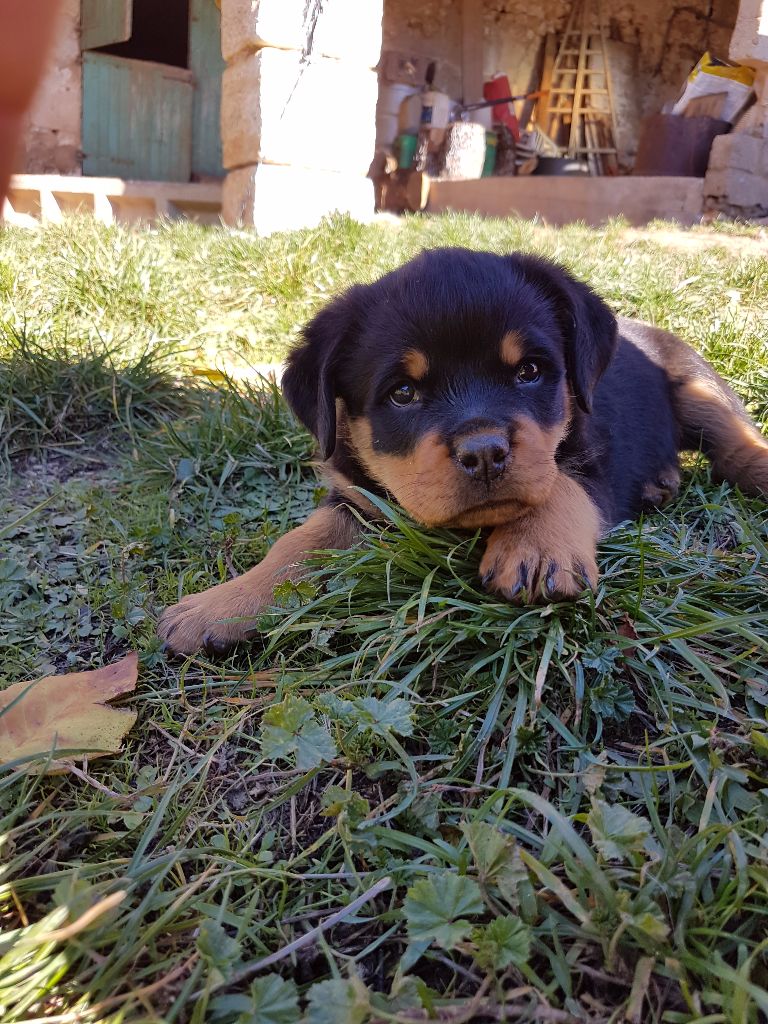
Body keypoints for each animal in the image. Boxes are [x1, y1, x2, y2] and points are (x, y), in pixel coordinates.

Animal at [157, 251, 768, 659]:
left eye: (530, 371)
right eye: (403, 393)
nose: (485, 454)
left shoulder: (596, 461)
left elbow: (559, 483)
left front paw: (535, 546)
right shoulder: (358, 497)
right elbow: (298, 543)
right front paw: (219, 605)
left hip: (697, 383)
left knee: (737, 440)